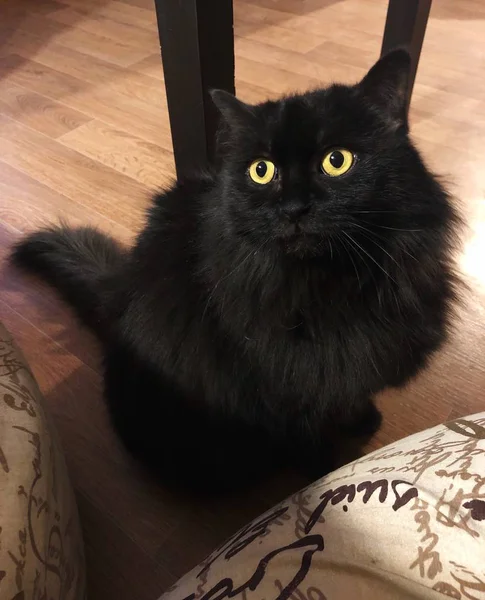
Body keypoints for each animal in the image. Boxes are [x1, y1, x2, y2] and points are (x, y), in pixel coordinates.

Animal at [11, 50, 458, 492]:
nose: (293, 209)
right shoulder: (287, 393)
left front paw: (364, 420)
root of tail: (117, 290)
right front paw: (324, 477)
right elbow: (312, 444)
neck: (332, 286)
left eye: (337, 161)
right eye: (261, 170)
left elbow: (350, 395)